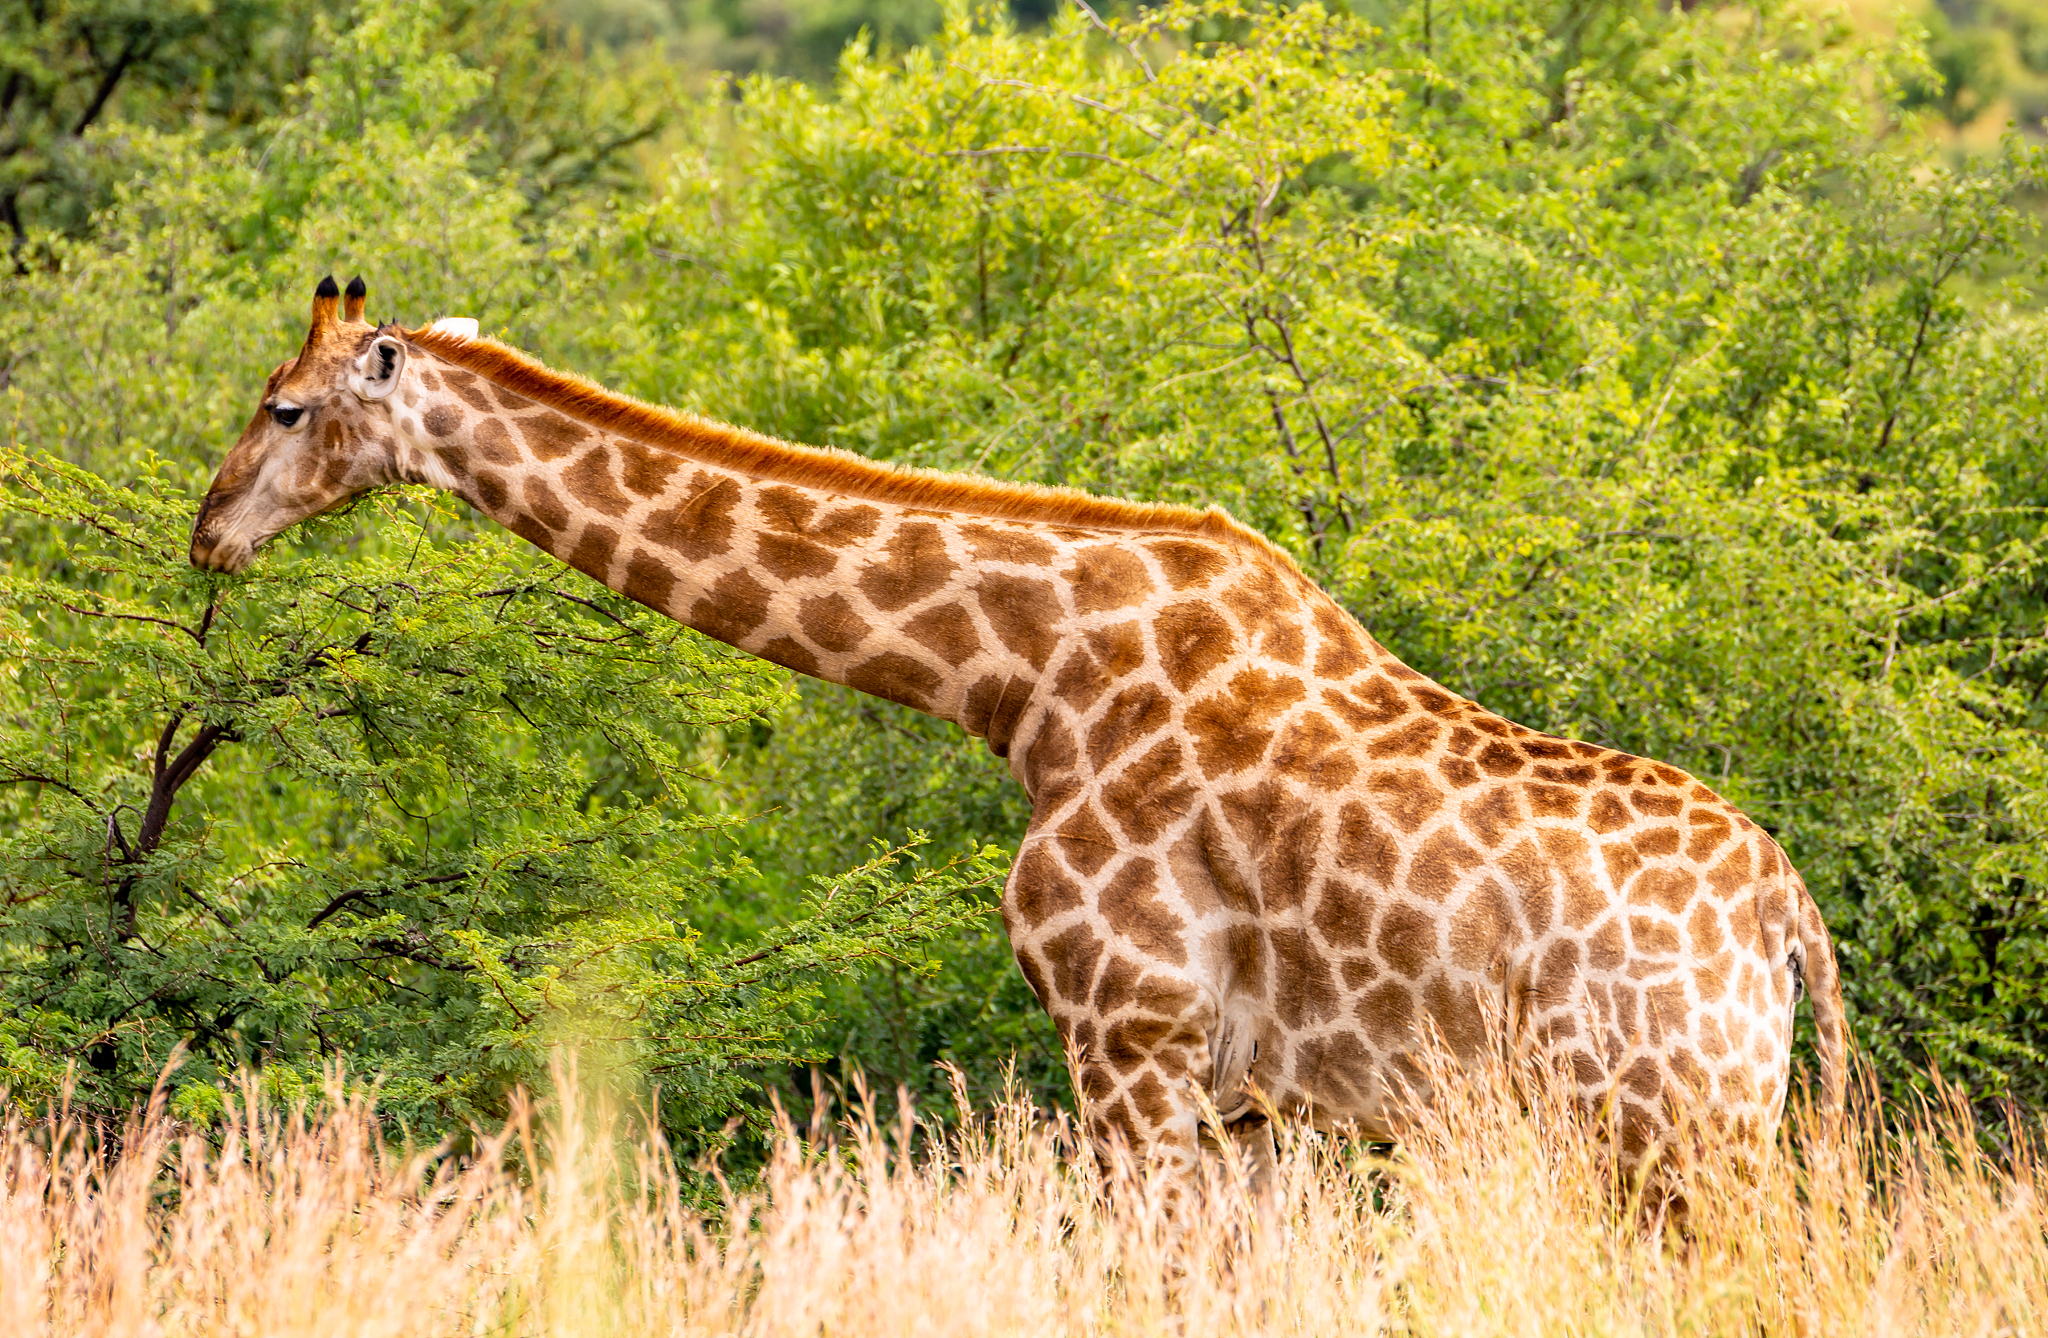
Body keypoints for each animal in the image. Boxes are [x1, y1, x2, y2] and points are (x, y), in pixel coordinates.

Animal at [191, 277, 1848, 1187]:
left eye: (283, 408)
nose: (208, 532)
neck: (1025, 681)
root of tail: (1788, 913)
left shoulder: (1130, 1035)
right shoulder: (1242, 1097)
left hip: (1674, 1120)